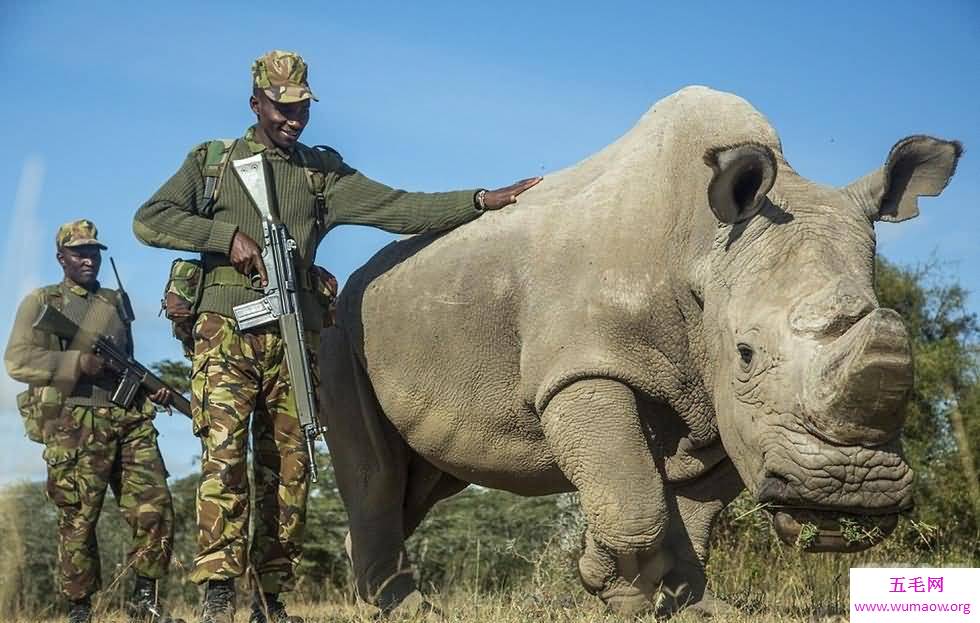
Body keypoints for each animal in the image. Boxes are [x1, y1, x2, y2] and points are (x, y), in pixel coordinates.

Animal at [318, 85, 960, 616]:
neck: (702, 248)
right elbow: (635, 499)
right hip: (341, 327)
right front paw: (608, 582)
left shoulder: (718, 399)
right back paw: (407, 608)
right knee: (375, 474)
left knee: (427, 479)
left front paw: (687, 605)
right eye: (746, 353)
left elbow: (695, 508)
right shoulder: (583, 370)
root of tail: (356, 280)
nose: (850, 493)